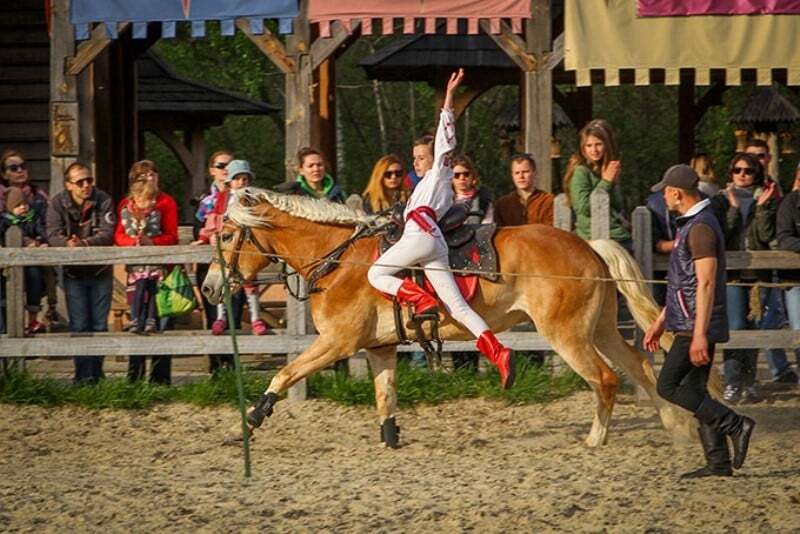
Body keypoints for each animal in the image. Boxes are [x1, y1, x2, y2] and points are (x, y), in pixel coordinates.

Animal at [203, 188, 696, 448]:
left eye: (226, 234)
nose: (208, 288)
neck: (343, 259)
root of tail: (589, 247)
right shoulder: (379, 348)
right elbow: (385, 397)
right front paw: (391, 439)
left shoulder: (337, 343)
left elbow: (286, 373)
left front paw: (253, 417)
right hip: (603, 329)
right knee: (639, 365)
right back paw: (676, 428)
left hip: (568, 335)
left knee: (605, 378)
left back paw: (595, 438)